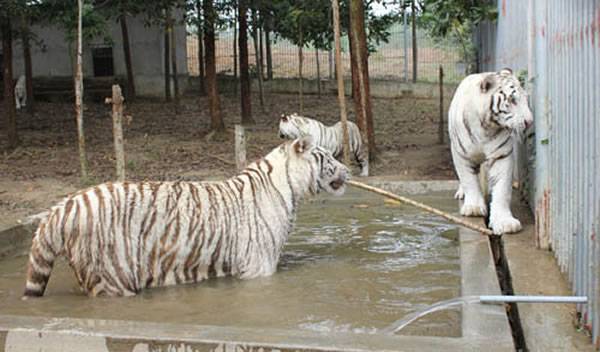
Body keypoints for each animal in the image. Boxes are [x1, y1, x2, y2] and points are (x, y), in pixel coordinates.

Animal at [23, 136, 350, 296]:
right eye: (328, 157)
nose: (348, 170)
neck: (289, 186)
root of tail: (63, 206)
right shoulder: (258, 266)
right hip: (113, 275)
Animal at [450, 67, 536, 235]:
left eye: (525, 99)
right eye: (512, 100)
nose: (529, 122)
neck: (485, 127)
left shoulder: (501, 155)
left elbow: (502, 189)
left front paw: (504, 222)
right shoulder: (461, 155)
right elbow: (469, 180)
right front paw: (474, 208)